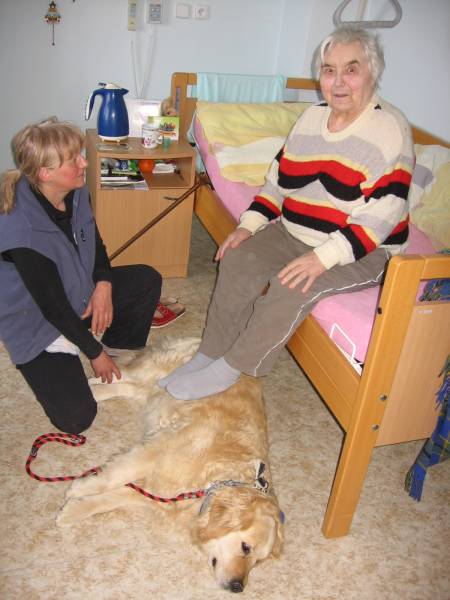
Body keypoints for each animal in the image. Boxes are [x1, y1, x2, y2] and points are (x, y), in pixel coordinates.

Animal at [57, 338, 284, 593]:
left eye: (257, 563)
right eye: (246, 548)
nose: (238, 587)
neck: (212, 480)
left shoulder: (159, 492)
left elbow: (110, 499)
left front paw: (72, 511)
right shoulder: (159, 446)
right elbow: (116, 475)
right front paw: (80, 488)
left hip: (155, 393)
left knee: (130, 386)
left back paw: (95, 389)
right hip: (158, 372)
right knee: (125, 373)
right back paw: (96, 379)